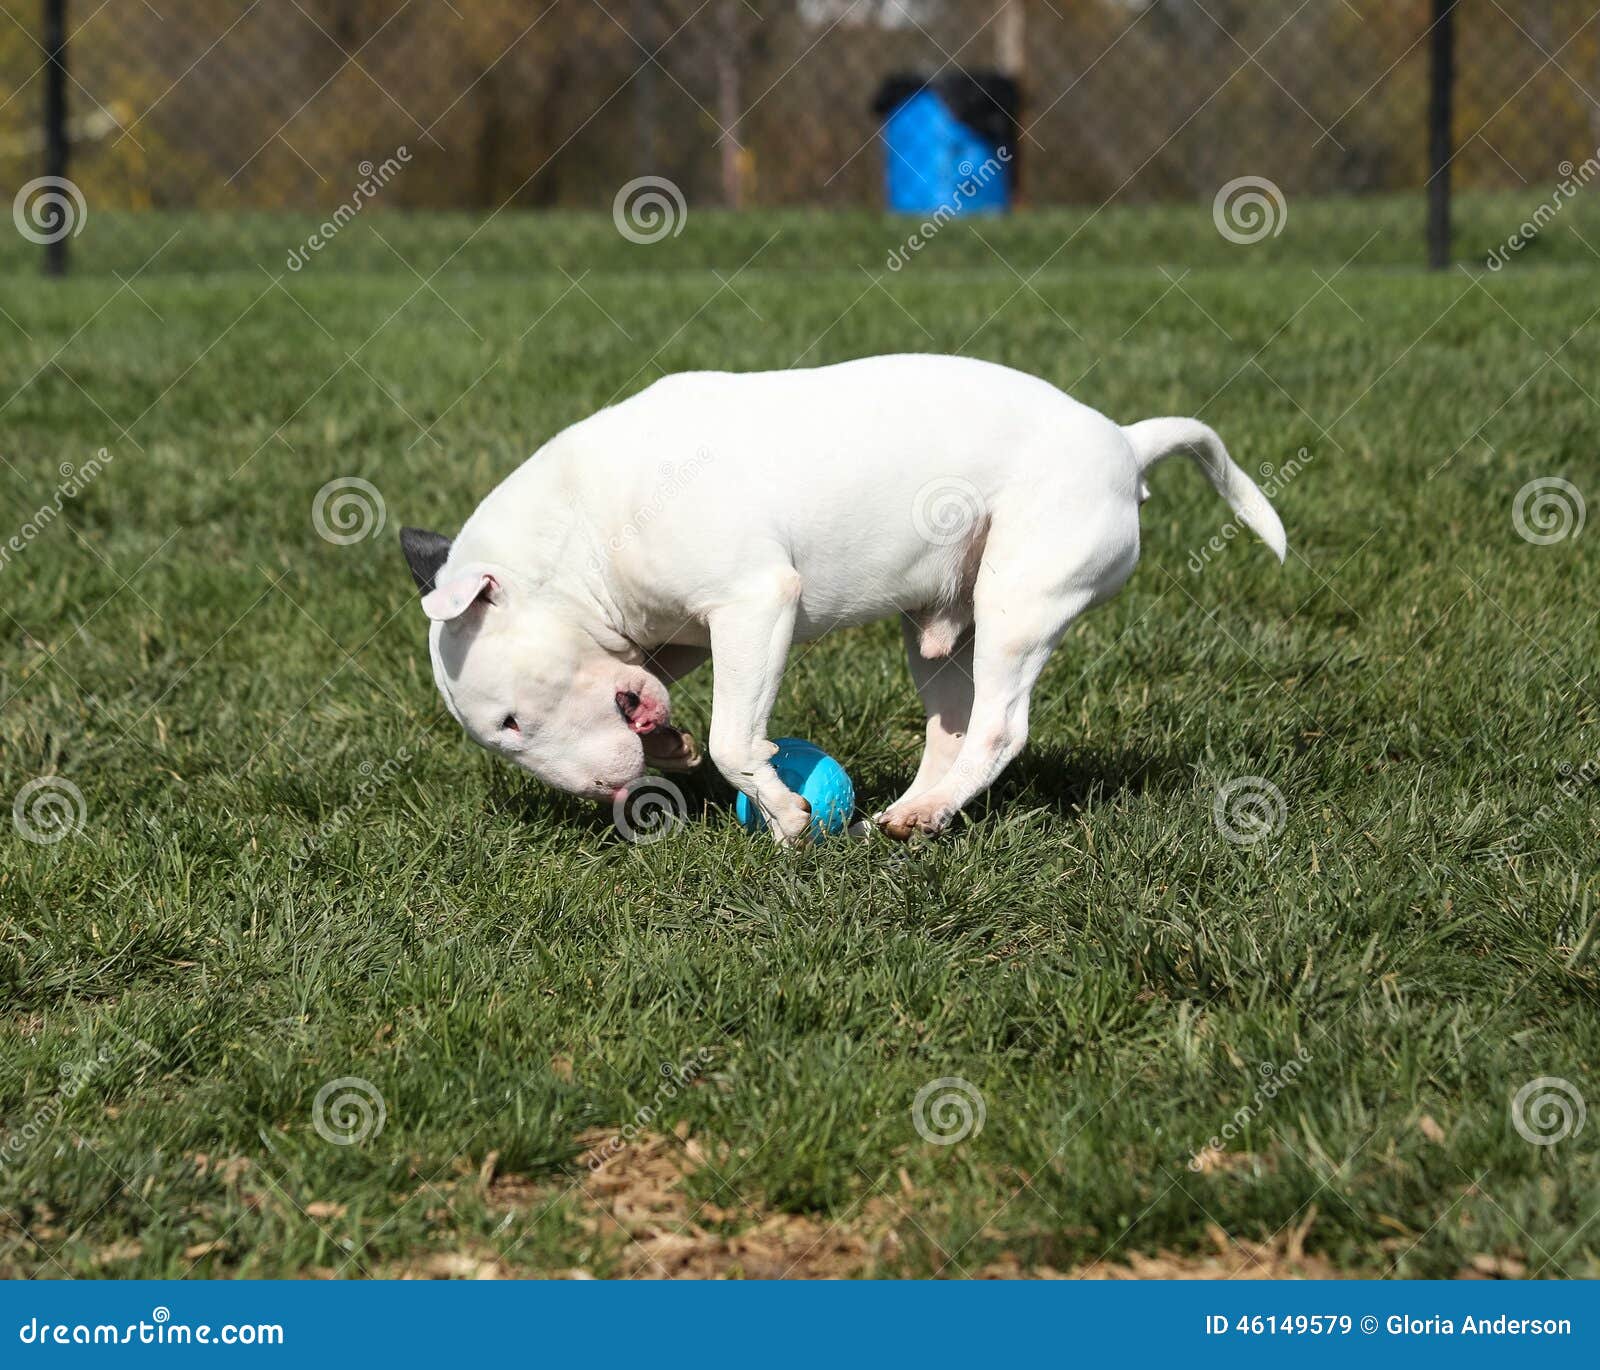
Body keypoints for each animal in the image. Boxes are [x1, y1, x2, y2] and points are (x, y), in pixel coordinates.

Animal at [403, 353, 1286, 838]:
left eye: (511, 722)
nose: (605, 794)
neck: (581, 523)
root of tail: (1125, 443)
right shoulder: (675, 633)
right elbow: (667, 690)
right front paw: (674, 746)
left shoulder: (755, 603)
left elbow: (734, 737)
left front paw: (785, 816)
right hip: (942, 633)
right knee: (952, 726)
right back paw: (910, 812)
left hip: (1021, 602)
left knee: (999, 728)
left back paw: (927, 815)